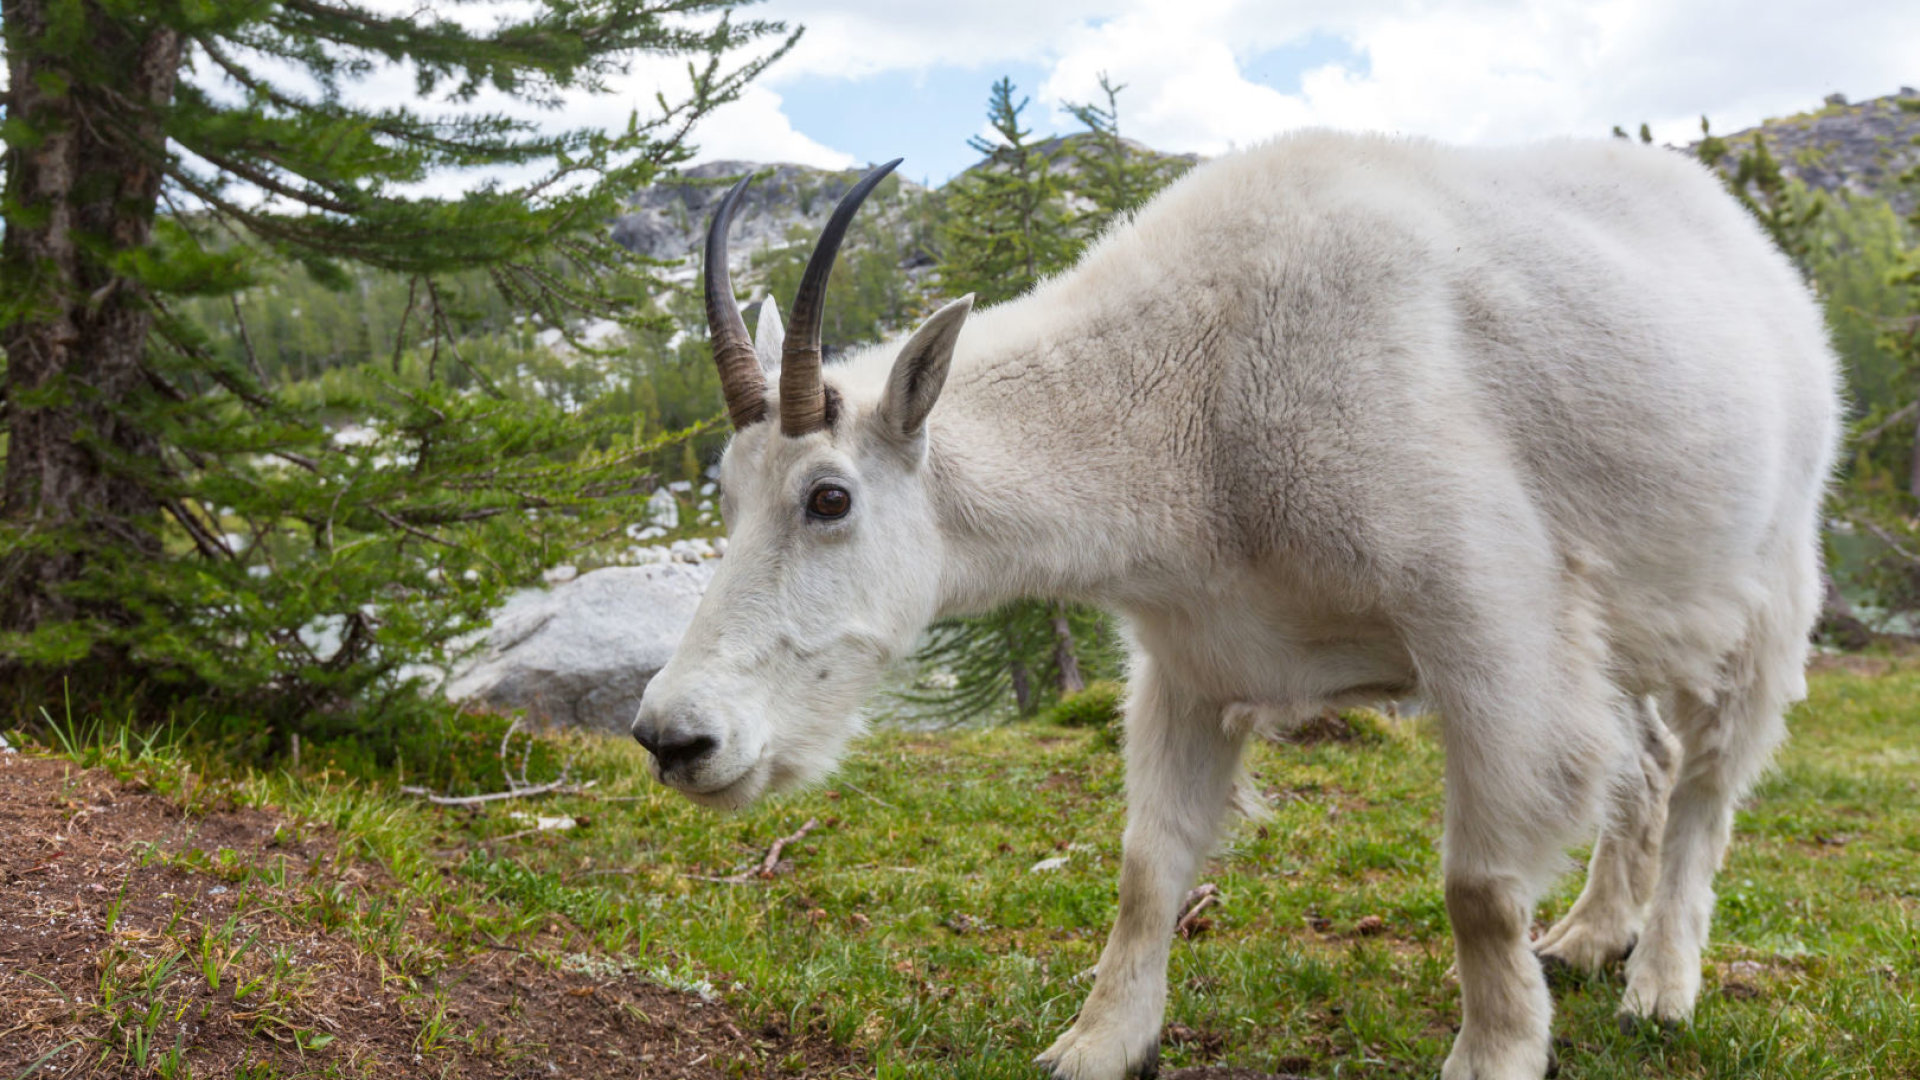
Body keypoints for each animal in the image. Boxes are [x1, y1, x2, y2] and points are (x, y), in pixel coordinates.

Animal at [633, 134, 1843, 1076]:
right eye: (726, 493)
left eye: (829, 497)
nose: (674, 737)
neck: (1196, 398)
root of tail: (1760, 255)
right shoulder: (1191, 663)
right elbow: (1147, 867)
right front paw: (1097, 1045)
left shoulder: (1493, 633)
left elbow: (1480, 885)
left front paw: (1496, 1052)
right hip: (1626, 626)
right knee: (1646, 761)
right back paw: (1594, 935)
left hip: (1768, 583)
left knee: (1706, 784)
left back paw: (1663, 983)